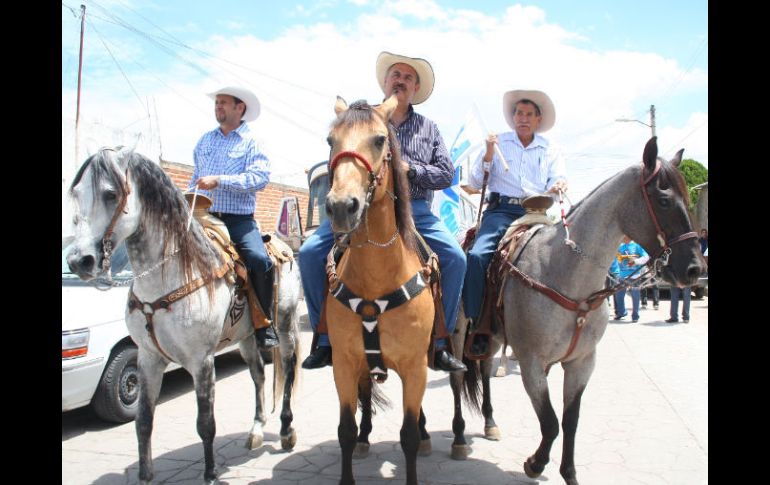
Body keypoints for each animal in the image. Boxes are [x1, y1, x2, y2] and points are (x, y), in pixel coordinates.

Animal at [66, 148, 302, 484]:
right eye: (76, 193)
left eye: (111, 194)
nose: (79, 261)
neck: (171, 274)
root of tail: (283, 246)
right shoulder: (148, 357)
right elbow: (143, 421)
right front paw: (145, 475)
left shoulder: (200, 360)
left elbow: (206, 423)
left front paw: (211, 474)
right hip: (245, 337)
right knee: (258, 375)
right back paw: (256, 431)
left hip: (284, 325)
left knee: (288, 369)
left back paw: (286, 431)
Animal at [452, 137, 704, 484]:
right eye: (664, 200)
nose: (695, 269)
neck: (565, 273)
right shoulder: (531, 363)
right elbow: (550, 422)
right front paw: (534, 464)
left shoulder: (582, 363)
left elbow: (570, 421)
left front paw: (568, 472)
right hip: (456, 334)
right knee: (457, 377)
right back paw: (457, 439)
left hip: (490, 337)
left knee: (485, 370)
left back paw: (490, 424)